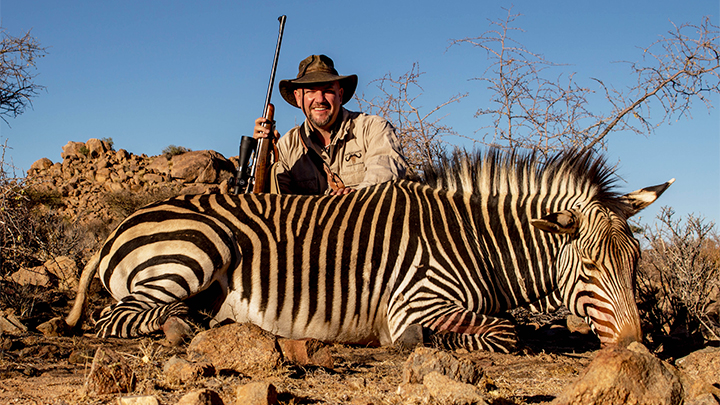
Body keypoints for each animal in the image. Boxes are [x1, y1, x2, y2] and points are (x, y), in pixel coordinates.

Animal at [64, 148, 672, 350]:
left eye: (637, 264)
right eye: (590, 266)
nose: (637, 348)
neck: (477, 242)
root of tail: (122, 225)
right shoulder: (417, 301)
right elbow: (503, 332)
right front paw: (416, 342)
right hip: (200, 246)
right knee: (115, 319)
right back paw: (183, 327)